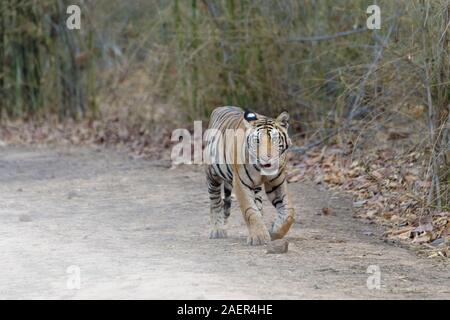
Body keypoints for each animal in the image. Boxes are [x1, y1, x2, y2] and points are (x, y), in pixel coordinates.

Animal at [204, 107, 296, 245]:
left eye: (274, 139)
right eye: (257, 141)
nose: (266, 158)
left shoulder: (276, 183)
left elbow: (288, 212)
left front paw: (273, 232)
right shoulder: (241, 184)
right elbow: (250, 210)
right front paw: (259, 236)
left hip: (255, 187)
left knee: (258, 204)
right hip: (212, 174)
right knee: (215, 201)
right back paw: (217, 230)